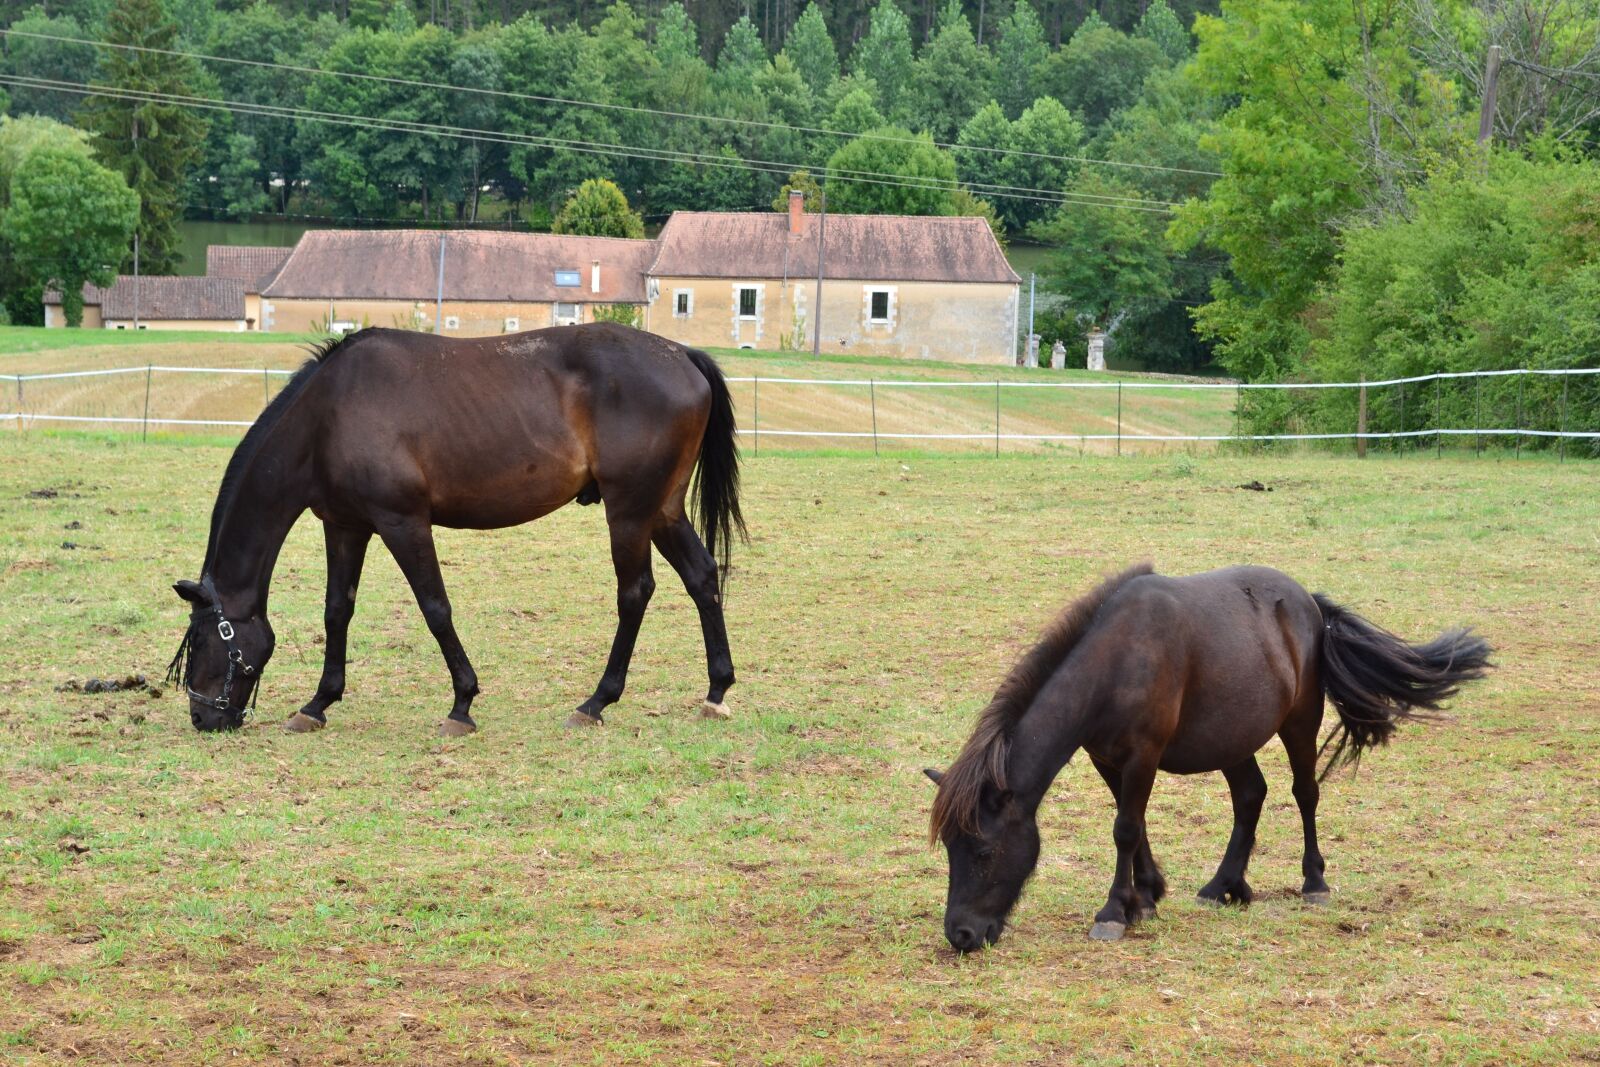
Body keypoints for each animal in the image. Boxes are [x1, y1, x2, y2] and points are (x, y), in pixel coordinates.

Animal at [166, 323, 746, 736]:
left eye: (202, 640)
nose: (202, 717)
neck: (329, 414)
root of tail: (683, 356)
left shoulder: (403, 522)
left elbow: (434, 608)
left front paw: (462, 703)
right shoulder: (347, 526)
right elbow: (337, 611)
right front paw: (318, 703)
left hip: (629, 512)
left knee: (635, 593)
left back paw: (596, 701)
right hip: (662, 511)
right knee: (702, 577)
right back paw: (716, 691)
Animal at [925, 563, 1491, 950]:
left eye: (983, 851)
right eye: (950, 848)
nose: (961, 934)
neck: (1117, 659)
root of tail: (1309, 604)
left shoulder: (1143, 755)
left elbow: (1125, 829)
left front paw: (1114, 912)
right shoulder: (1109, 760)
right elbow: (1135, 824)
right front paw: (1146, 896)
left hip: (1299, 723)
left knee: (1304, 794)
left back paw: (1313, 882)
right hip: (1233, 738)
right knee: (1251, 796)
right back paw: (1226, 885)